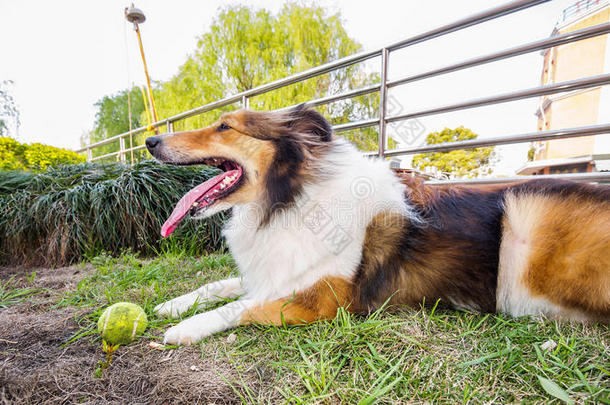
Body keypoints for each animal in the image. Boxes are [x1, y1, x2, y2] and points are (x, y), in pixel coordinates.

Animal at [147, 105, 608, 344]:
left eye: (225, 126)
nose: (150, 140)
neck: (291, 198)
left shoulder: (324, 300)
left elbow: (241, 306)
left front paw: (185, 328)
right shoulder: (276, 271)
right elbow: (218, 286)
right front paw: (174, 305)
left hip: (526, 213)